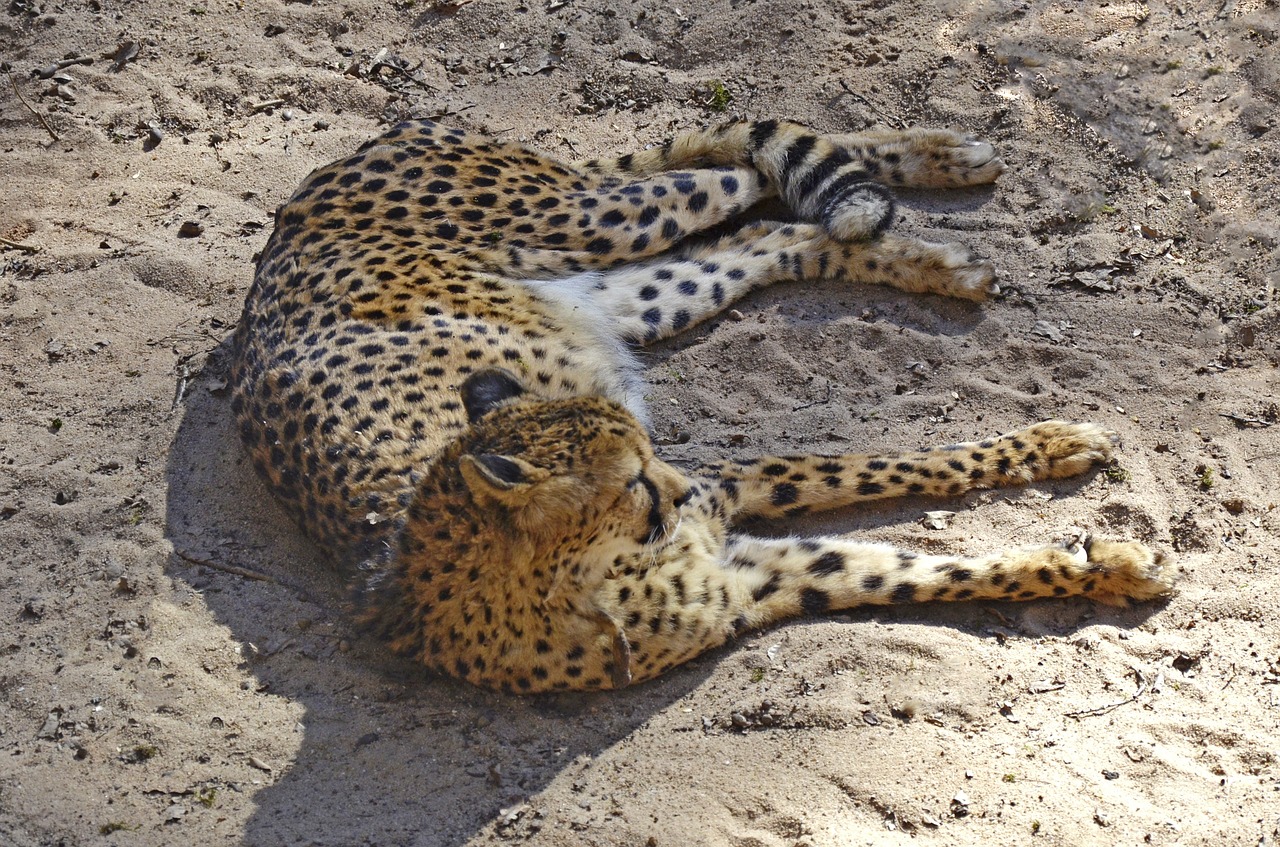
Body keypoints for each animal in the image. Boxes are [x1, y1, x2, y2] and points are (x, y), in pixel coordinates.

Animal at [227, 116, 1172, 696]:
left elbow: (869, 464)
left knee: (738, 158)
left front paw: (1053, 456)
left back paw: (939, 159)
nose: (680, 488)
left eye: (647, 459)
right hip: (634, 288)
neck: (594, 573)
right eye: (632, 482)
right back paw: (933, 256)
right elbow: (934, 567)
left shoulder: (734, 495)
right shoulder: (771, 575)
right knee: (774, 229)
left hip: (598, 218)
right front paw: (1105, 561)